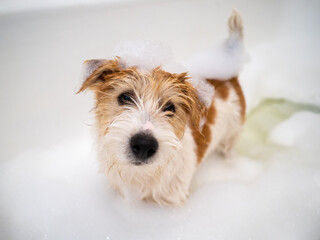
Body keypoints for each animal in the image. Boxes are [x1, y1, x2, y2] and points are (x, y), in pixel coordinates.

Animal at [78, 10, 248, 205]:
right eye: (125, 97)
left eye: (170, 107)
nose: (144, 144)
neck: (141, 176)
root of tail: (230, 77)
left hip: (233, 132)